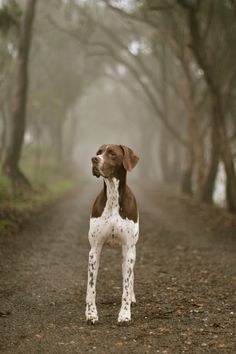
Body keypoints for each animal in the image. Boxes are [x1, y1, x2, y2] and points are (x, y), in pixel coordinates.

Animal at [85, 144, 139, 324]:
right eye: (98, 153)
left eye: (112, 154)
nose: (94, 159)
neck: (113, 196)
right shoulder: (94, 250)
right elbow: (91, 286)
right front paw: (91, 313)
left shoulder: (128, 249)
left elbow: (126, 285)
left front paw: (125, 314)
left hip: (130, 252)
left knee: (130, 276)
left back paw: (132, 298)